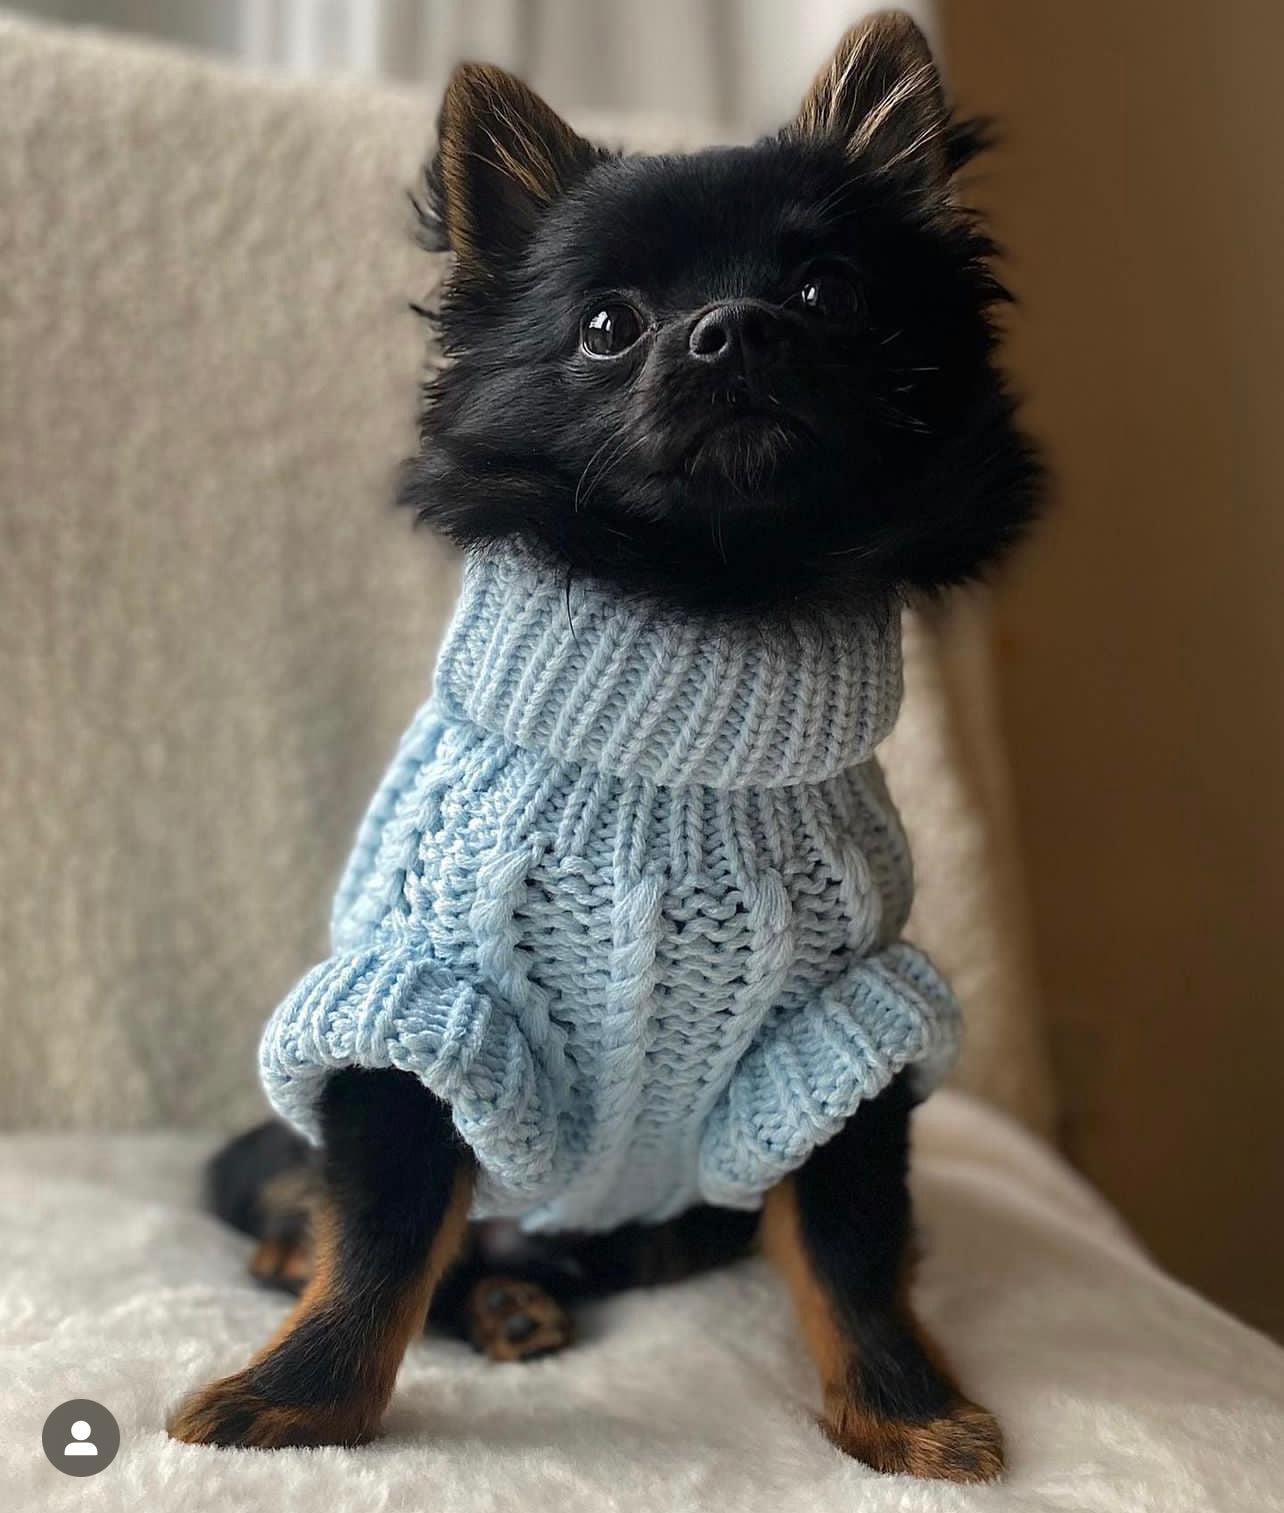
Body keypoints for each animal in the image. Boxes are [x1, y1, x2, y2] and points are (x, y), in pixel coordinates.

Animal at [165, 11, 1034, 1476]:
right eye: (608, 328)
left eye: (831, 296)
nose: (732, 332)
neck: (707, 616)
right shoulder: (416, 1016)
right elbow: (379, 1242)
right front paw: (297, 1402)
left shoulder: (844, 1038)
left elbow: (851, 1251)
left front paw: (908, 1410)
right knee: (327, 1214)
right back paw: (460, 1291)